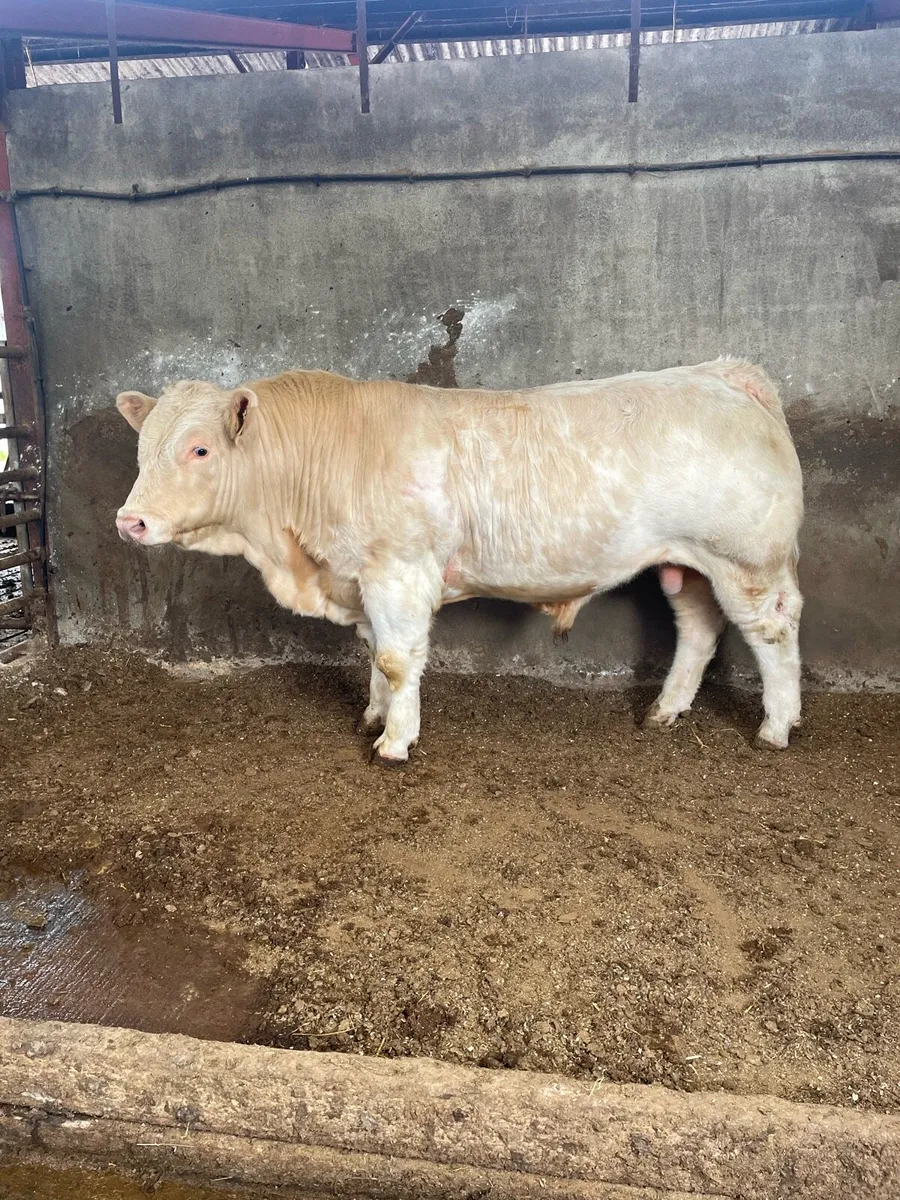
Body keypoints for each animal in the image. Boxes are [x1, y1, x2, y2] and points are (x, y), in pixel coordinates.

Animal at [115, 358, 803, 764]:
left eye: (200, 449)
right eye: (142, 449)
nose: (130, 521)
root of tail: (724, 373)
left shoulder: (398, 569)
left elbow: (396, 659)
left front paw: (395, 741)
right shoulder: (362, 576)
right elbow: (374, 652)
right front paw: (373, 716)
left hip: (748, 561)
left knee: (773, 630)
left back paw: (777, 726)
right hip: (687, 564)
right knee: (699, 630)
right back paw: (665, 710)